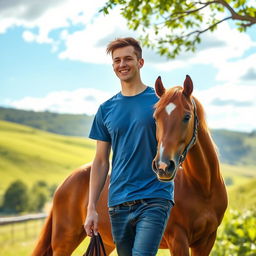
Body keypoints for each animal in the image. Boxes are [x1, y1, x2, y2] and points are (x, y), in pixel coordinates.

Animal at [31, 75, 226, 255]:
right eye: (155, 118)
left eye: (187, 116)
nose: (163, 166)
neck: (202, 186)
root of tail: (66, 182)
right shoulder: (178, 239)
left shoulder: (207, 240)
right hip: (64, 240)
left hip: (106, 241)